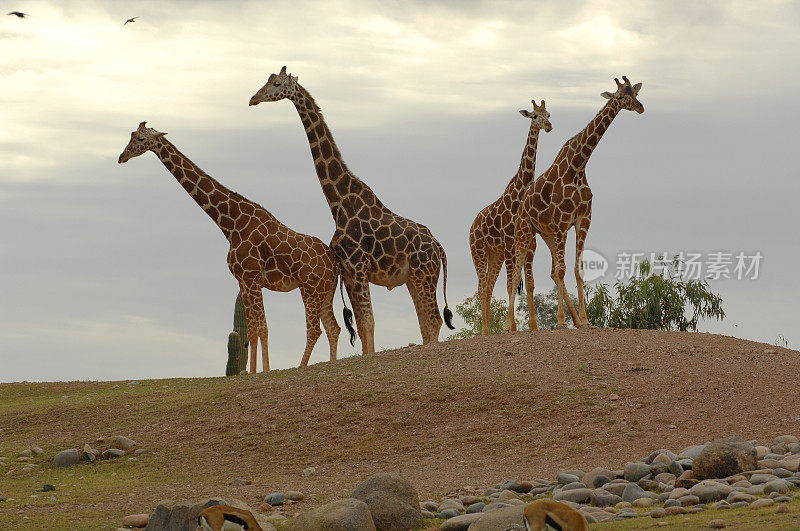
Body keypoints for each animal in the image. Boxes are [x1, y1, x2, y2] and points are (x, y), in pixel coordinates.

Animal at [117, 123, 342, 374]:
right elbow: (253, 330)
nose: (122, 156)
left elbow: (262, 327)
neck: (231, 224)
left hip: (309, 288)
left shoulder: (252, 278)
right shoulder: (242, 281)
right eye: (131, 136)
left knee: (315, 329)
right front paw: (250, 371)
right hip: (325, 291)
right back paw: (331, 363)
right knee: (333, 327)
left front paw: (264, 370)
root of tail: (335, 261)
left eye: (140, 139)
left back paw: (301, 366)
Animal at [247, 68, 454, 356]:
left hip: (425, 274)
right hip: (414, 278)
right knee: (425, 321)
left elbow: (367, 322)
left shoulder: (356, 268)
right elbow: (363, 322)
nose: (253, 99)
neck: (339, 204)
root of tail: (440, 249)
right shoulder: (348, 271)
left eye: (276, 84)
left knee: (433, 318)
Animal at [466, 97, 552, 334]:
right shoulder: (508, 245)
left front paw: (532, 326)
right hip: (479, 252)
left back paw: (487, 329)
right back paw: (485, 331)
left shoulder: (530, 245)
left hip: (494, 256)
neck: (519, 193)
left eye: (548, 114)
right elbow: (510, 283)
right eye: (534, 115)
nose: (548, 126)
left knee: (488, 287)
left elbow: (529, 284)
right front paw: (511, 326)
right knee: (482, 287)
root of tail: (472, 227)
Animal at [506, 77, 644, 330]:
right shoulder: (562, 221)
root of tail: (522, 202)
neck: (578, 166)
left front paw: (585, 320)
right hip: (525, 233)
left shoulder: (582, 220)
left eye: (635, 93)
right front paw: (561, 322)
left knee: (550, 271)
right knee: (517, 276)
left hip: (547, 234)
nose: (640, 107)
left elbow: (576, 269)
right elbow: (561, 271)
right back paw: (511, 325)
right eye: (620, 96)